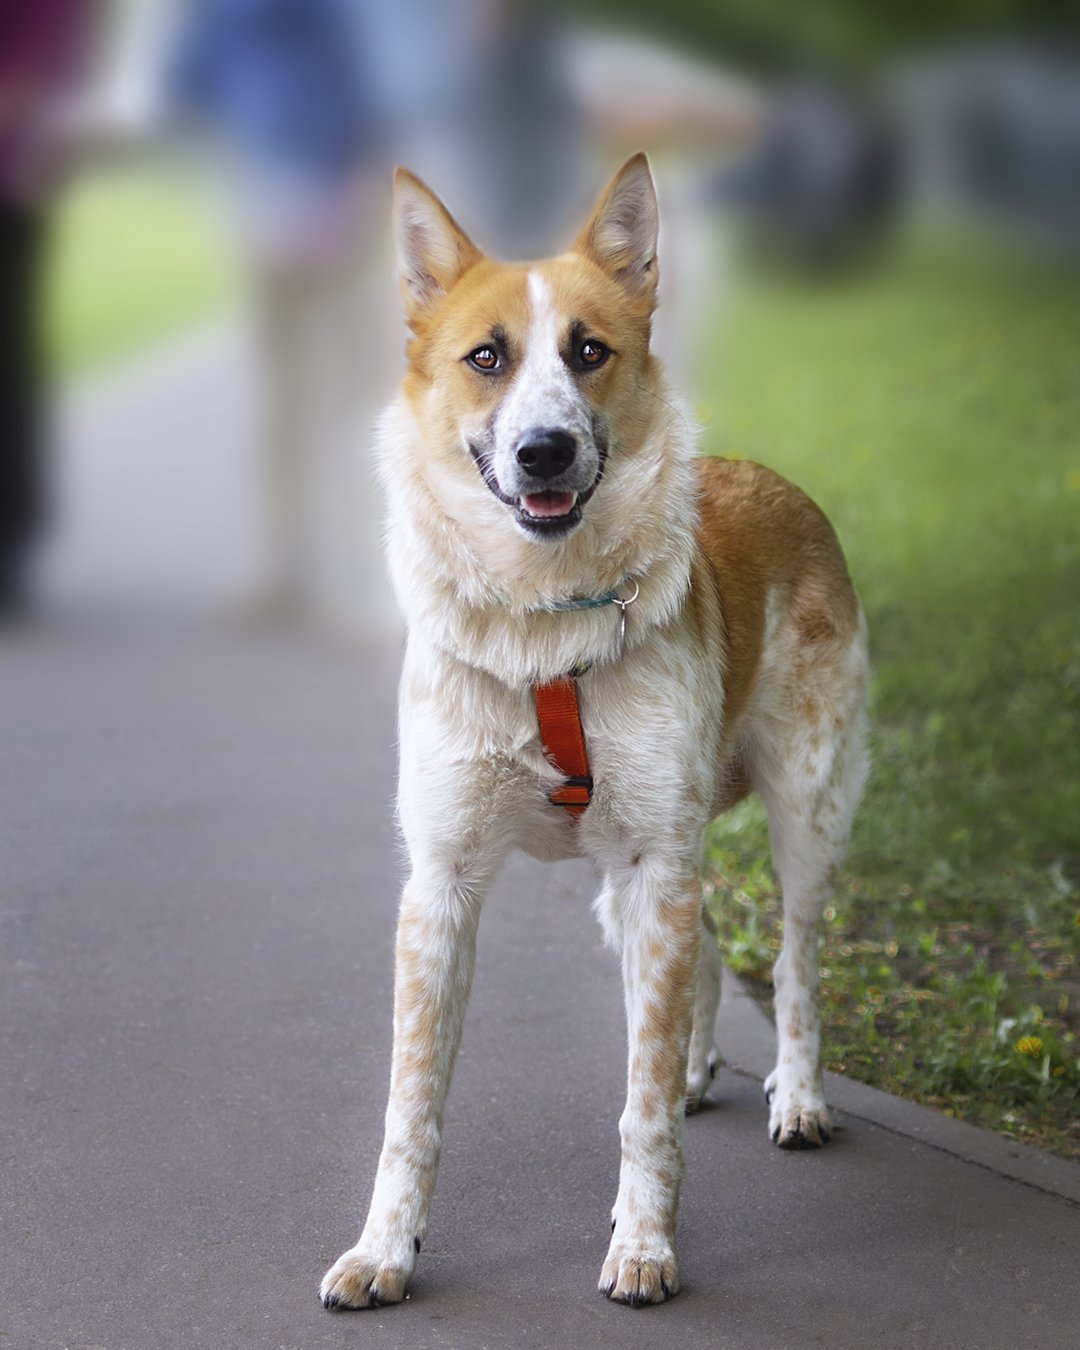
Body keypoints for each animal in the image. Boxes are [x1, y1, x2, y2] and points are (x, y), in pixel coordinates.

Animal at [320, 154, 869, 1309]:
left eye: (590, 351)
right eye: (486, 356)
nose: (545, 451)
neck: (541, 629)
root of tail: (774, 478)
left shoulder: (660, 860)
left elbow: (642, 1103)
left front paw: (645, 1245)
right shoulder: (443, 887)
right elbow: (411, 1105)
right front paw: (384, 1250)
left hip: (803, 811)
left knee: (794, 960)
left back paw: (797, 1095)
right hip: (637, 879)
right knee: (706, 955)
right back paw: (708, 1065)